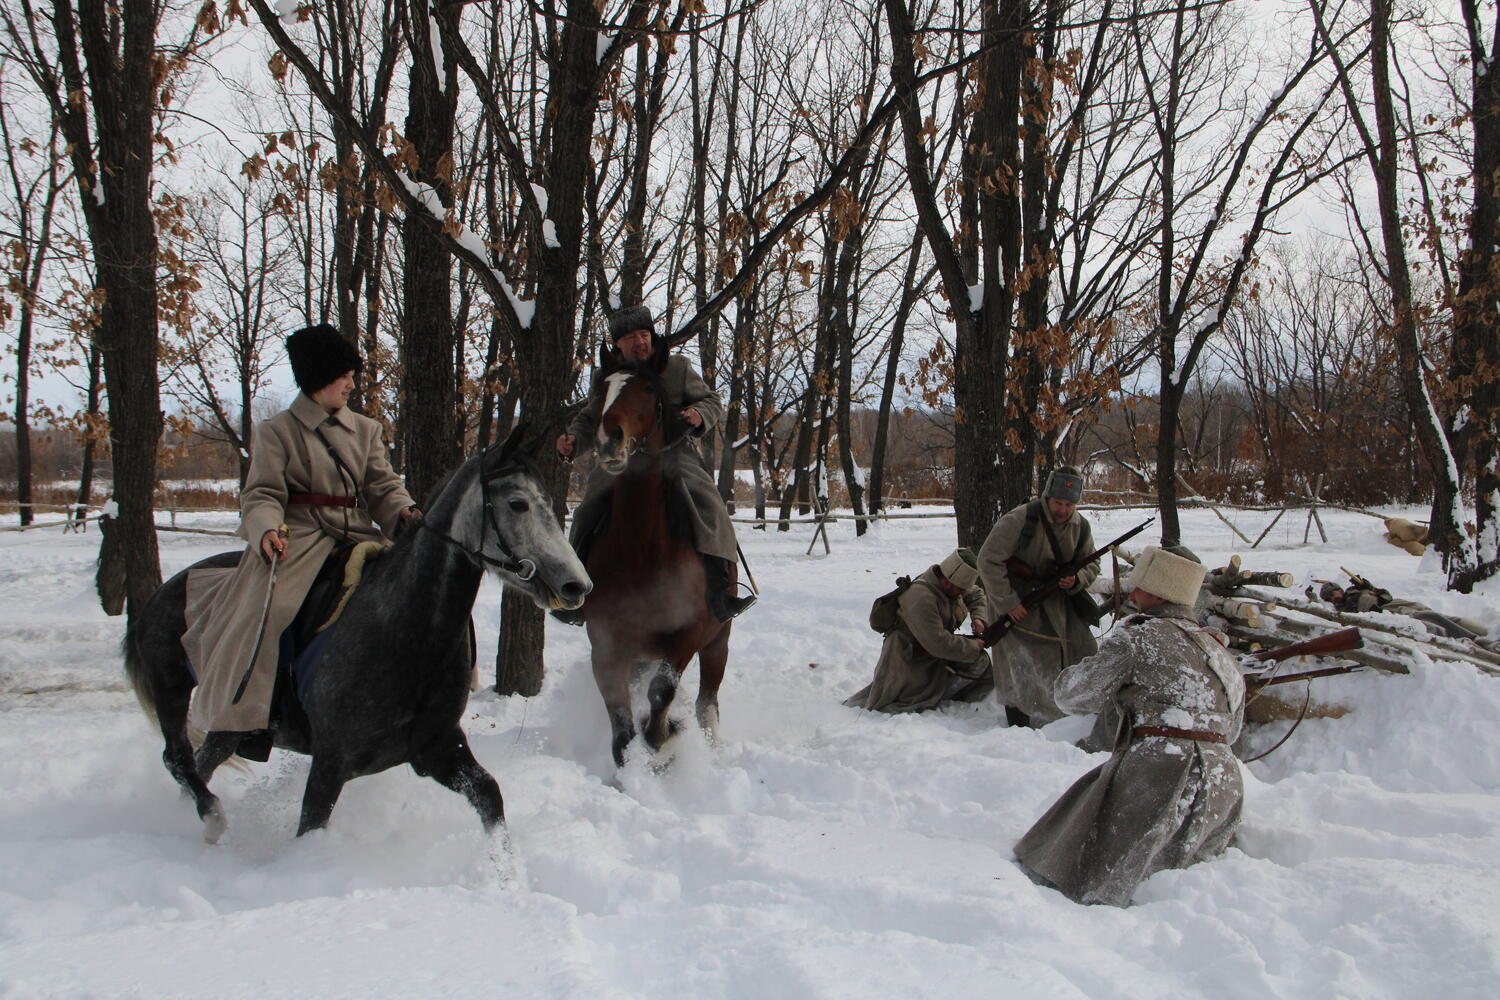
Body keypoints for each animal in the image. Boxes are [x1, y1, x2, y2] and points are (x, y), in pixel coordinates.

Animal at [124, 424, 590, 841]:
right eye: (517, 504)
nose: (576, 586)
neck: (406, 635)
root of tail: (162, 593)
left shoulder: (438, 750)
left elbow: (491, 799)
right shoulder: (331, 765)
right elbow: (311, 824)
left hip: (228, 724)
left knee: (201, 760)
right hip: (174, 691)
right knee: (177, 758)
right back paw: (212, 818)